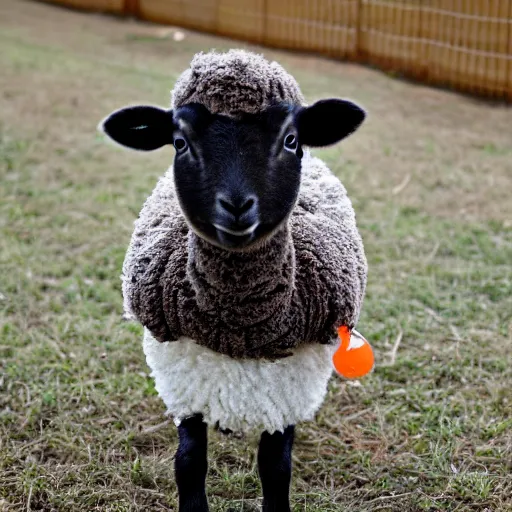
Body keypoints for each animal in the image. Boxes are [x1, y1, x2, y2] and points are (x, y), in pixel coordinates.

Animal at [100, 50, 366, 512]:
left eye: (291, 140)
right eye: (180, 142)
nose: (238, 206)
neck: (238, 323)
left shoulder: (286, 393)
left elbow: (275, 469)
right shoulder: (186, 383)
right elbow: (189, 463)